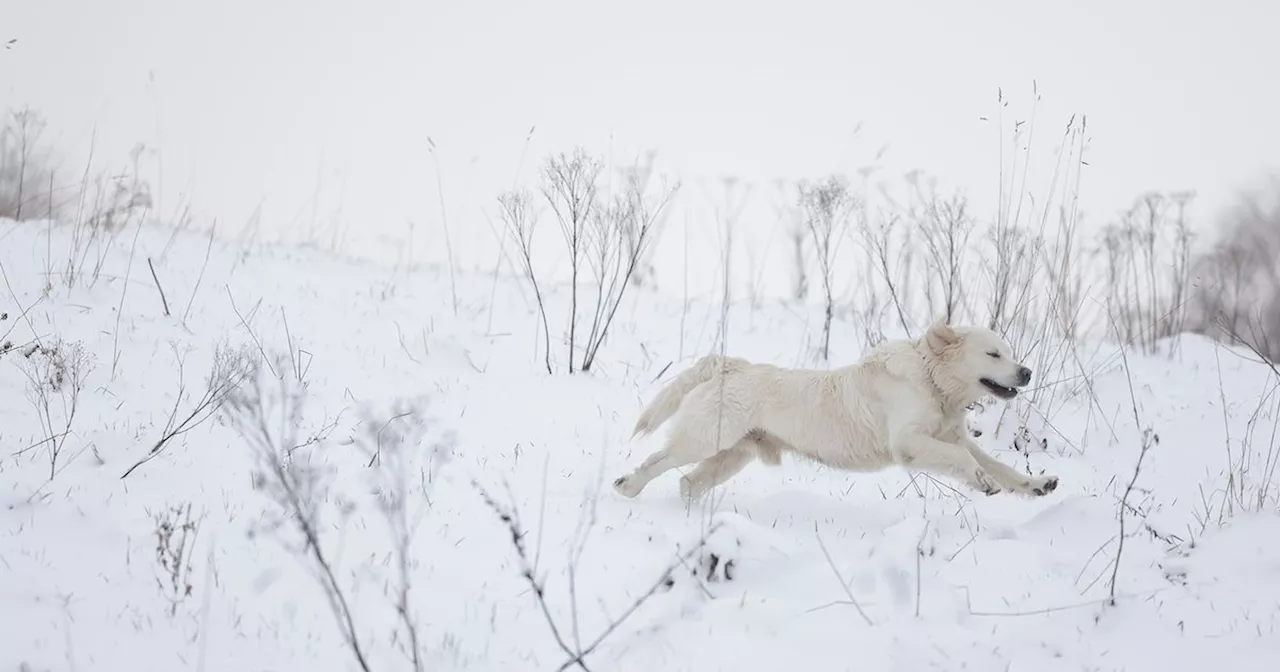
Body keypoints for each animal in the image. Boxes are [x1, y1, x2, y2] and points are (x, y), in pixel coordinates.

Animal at [611, 322, 1059, 499]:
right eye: (993, 354)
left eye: (1009, 353)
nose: (1026, 371)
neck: (932, 381)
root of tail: (729, 364)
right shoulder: (910, 442)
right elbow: (964, 460)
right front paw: (983, 482)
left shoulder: (952, 435)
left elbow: (998, 464)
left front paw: (1037, 484)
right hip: (705, 439)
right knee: (657, 461)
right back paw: (627, 486)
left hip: (733, 455)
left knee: (688, 482)